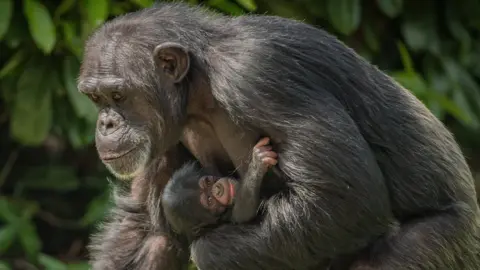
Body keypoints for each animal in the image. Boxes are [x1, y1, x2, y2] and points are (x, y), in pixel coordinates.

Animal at [79, 2, 480, 270]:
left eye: (118, 95)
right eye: (95, 98)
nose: (106, 123)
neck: (199, 87)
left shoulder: (256, 73)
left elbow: (346, 201)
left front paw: (211, 247)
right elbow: (149, 230)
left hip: (440, 243)